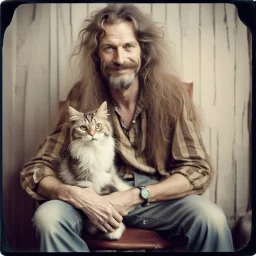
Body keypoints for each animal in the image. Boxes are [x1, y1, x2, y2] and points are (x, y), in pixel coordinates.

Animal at [58, 101, 133, 240]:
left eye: (98, 126)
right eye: (83, 128)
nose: (92, 134)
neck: (93, 151)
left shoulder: (107, 180)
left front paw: (115, 230)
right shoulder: (84, 184)